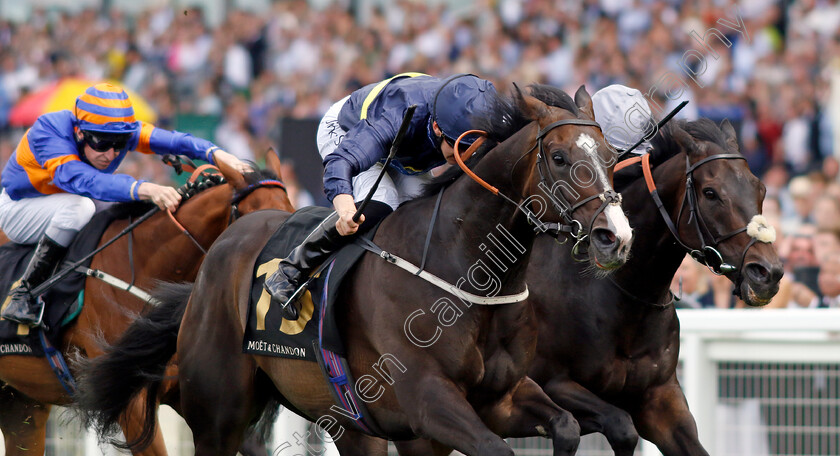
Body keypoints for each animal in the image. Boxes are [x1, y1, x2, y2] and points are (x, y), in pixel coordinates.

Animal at [77, 84, 632, 456]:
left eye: (610, 156)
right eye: (558, 157)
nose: (616, 236)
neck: (464, 273)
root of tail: (217, 253)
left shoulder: (501, 397)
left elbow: (574, 426)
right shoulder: (429, 401)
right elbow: (495, 447)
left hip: (348, 418)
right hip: (218, 409)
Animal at [398, 118, 784, 456]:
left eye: (761, 189)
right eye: (710, 192)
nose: (768, 273)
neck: (618, 293)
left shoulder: (661, 398)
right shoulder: (552, 383)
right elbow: (621, 425)